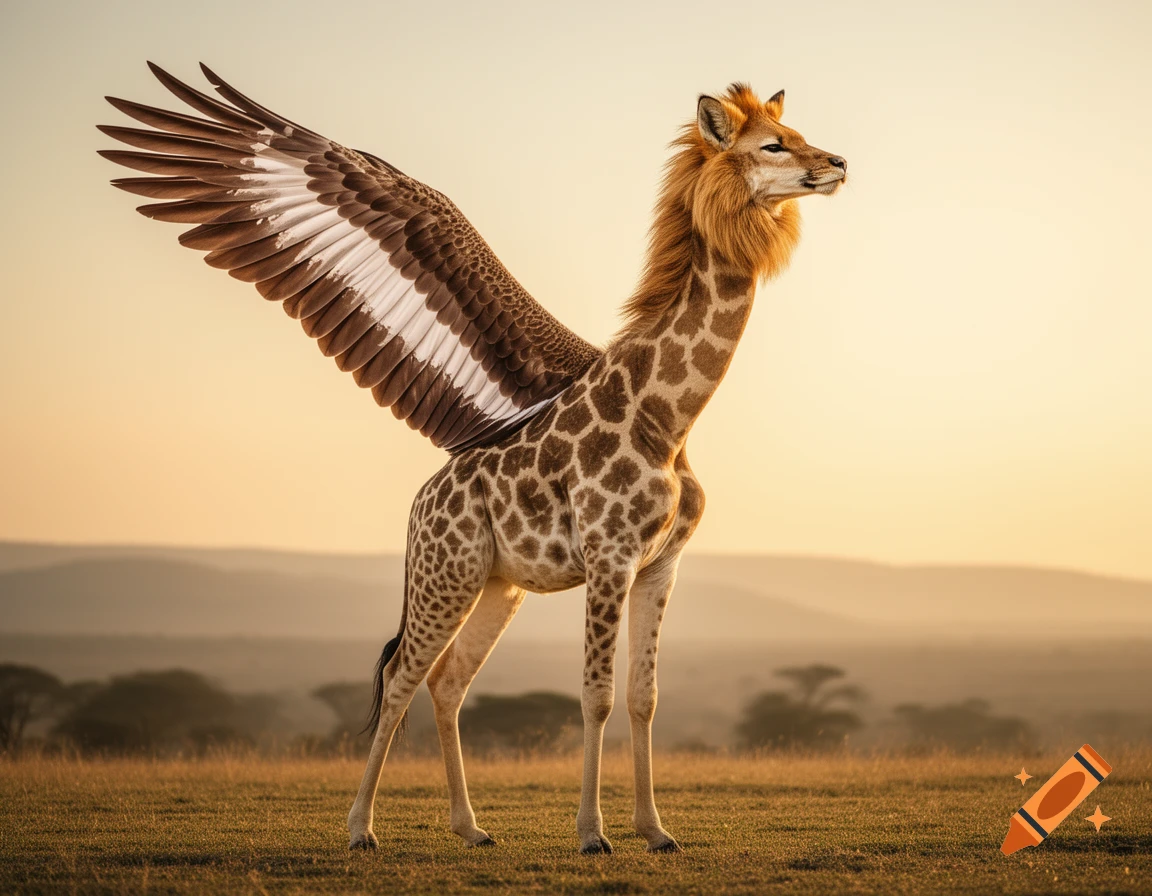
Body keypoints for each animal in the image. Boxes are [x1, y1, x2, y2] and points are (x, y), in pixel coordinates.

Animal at [98, 68, 845, 854]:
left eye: (794, 133)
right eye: (772, 144)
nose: (838, 165)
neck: (668, 418)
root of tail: (419, 506)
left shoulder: (661, 563)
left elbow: (643, 697)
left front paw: (656, 831)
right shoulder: (609, 556)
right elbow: (597, 695)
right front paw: (592, 834)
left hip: (497, 584)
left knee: (448, 679)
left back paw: (470, 827)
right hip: (446, 573)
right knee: (403, 675)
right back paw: (360, 829)